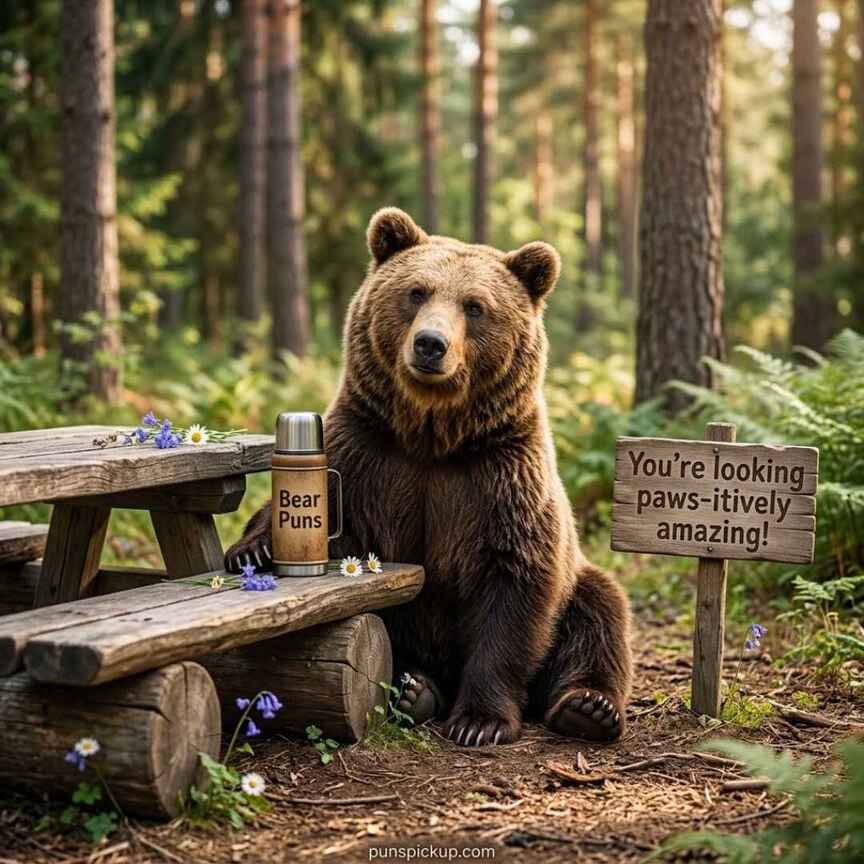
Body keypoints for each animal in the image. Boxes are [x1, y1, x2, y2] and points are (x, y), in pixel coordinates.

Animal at [225, 207, 633, 746]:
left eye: (475, 306)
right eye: (417, 291)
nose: (430, 344)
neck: (432, 438)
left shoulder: (500, 476)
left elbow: (514, 587)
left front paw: (480, 721)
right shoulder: (366, 454)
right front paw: (251, 549)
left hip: (579, 584)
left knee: (600, 612)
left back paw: (588, 707)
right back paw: (415, 690)